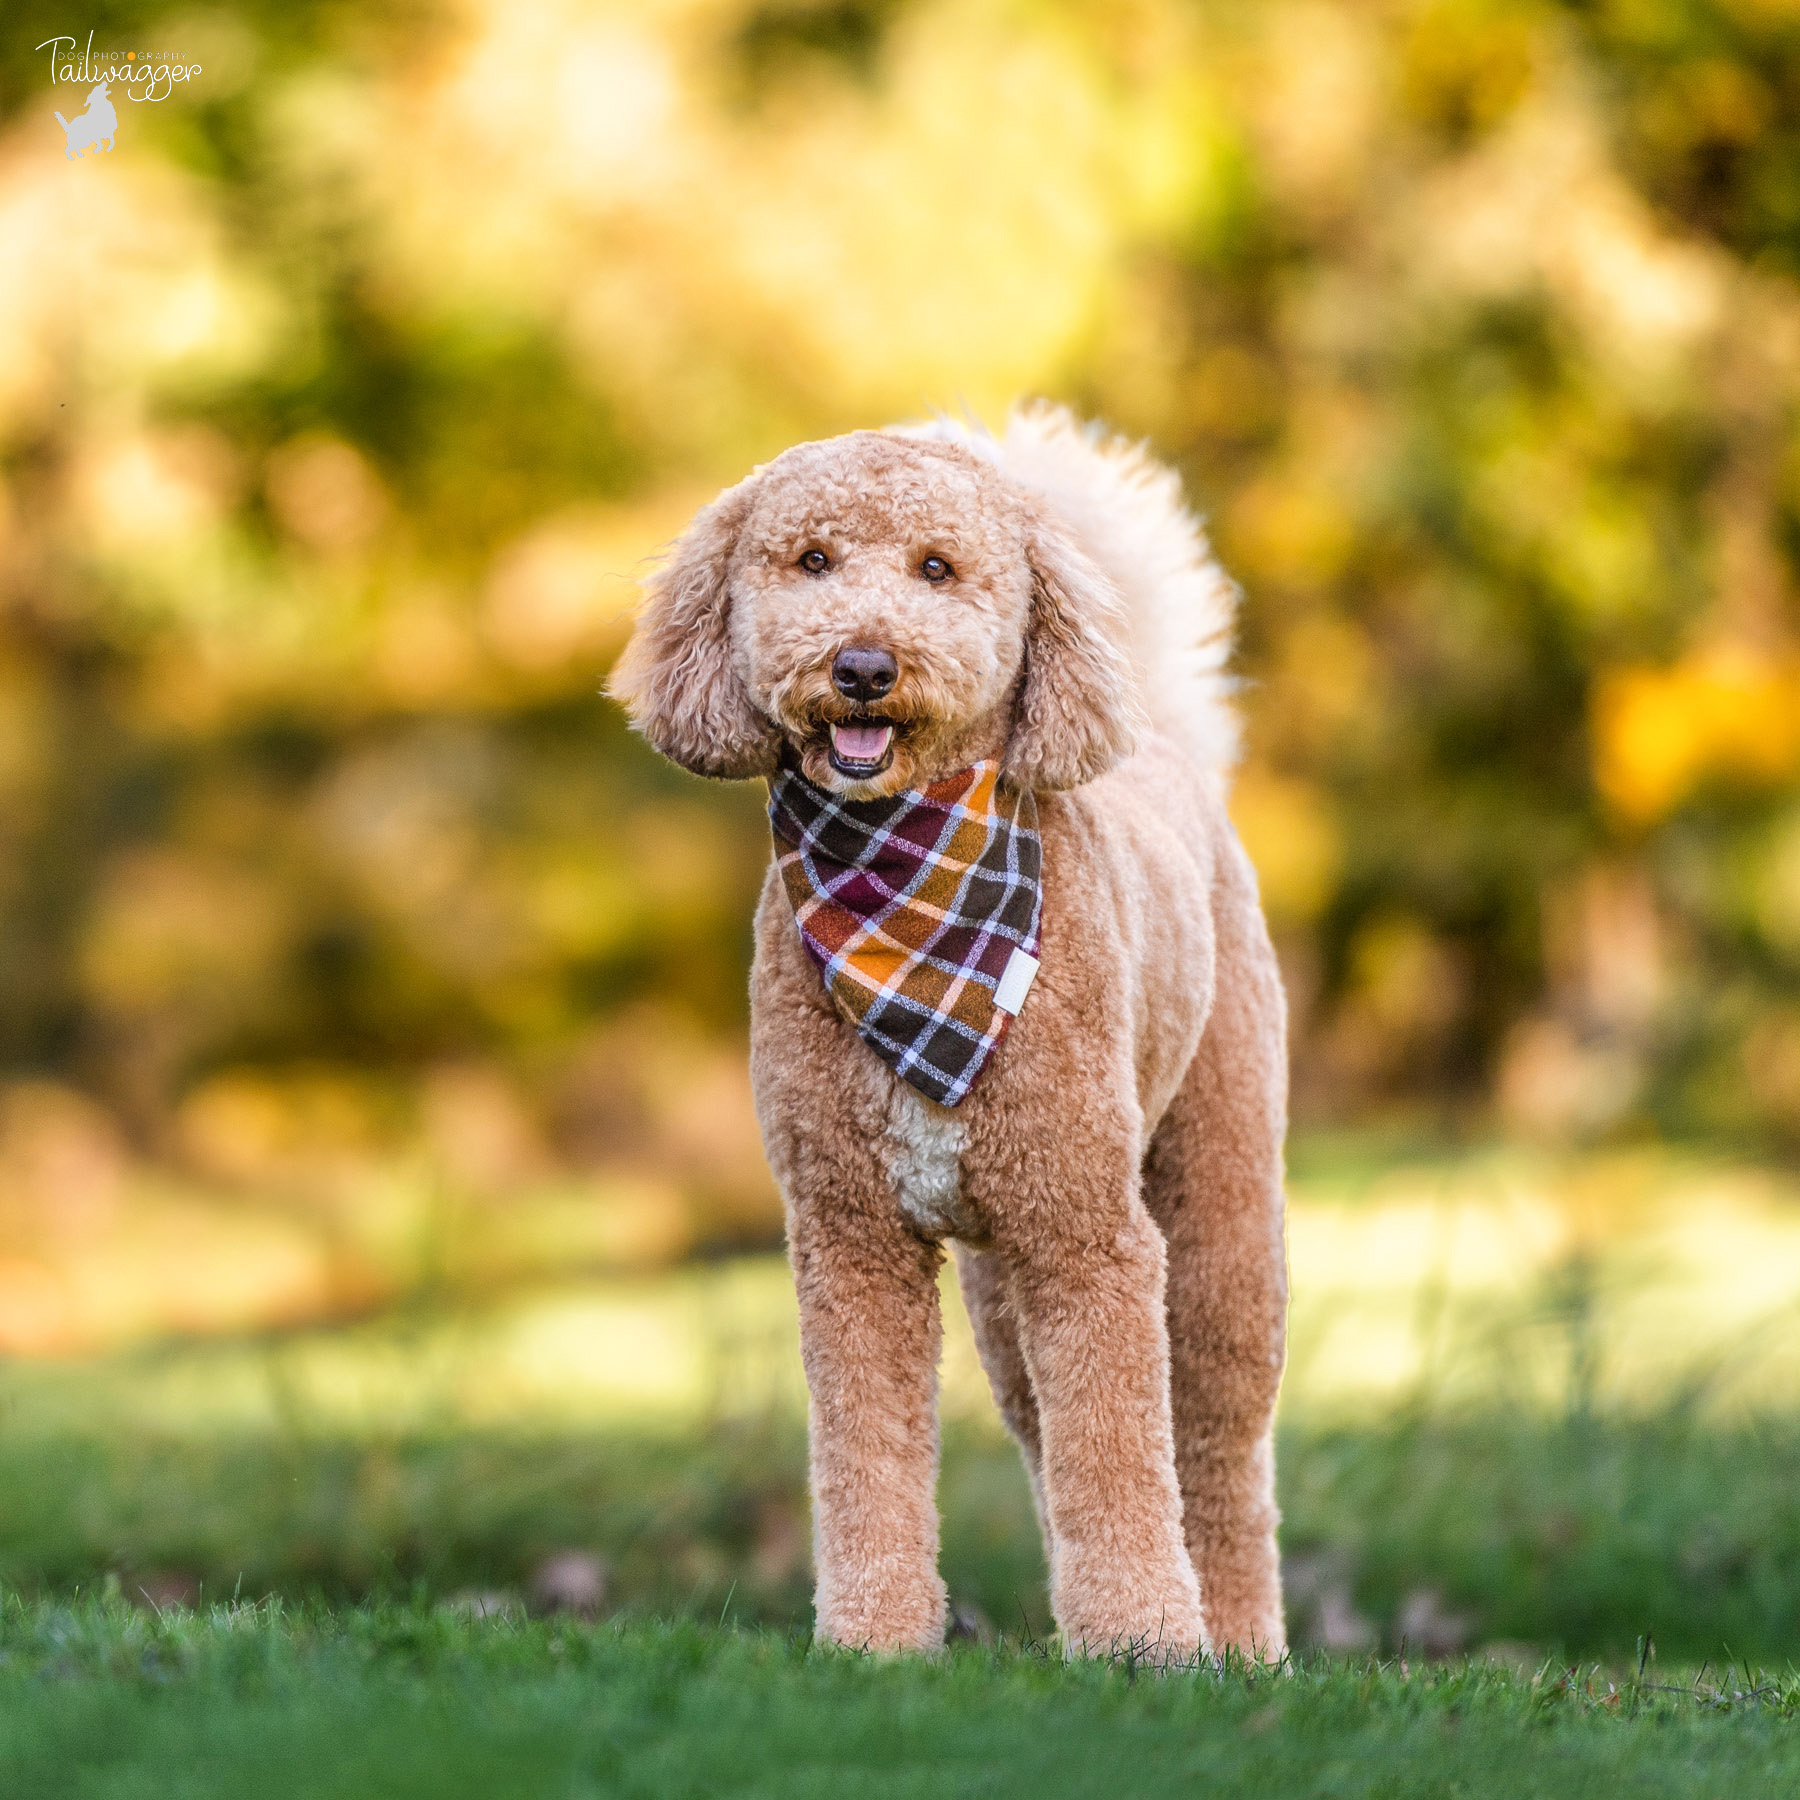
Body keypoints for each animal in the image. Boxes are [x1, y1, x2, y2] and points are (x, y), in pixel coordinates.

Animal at [612, 408, 1288, 1656]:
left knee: (1214, 1446)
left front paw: (1144, 1642)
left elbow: (1122, 1449)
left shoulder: (1088, 1241)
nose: (863, 666)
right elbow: (869, 1456)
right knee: (1044, 1432)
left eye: (938, 568)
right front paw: (875, 1639)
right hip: (1001, 1278)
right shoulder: (852, 1243)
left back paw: (1238, 1641)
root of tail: (1166, 741)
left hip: (1215, 1209)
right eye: (811, 561)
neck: (909, 900)